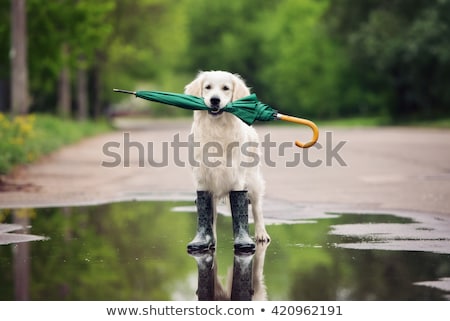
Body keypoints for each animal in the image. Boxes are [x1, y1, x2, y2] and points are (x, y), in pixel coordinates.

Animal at [184, 70, 268, 250]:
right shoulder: (203, 179)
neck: (217, 128)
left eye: (226, 88)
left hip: (253, 180)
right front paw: (207, 240)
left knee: (257, 208)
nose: (215, 100)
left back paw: (261, 234)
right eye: (208, 87)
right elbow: (208, 214)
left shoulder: (236, 178)